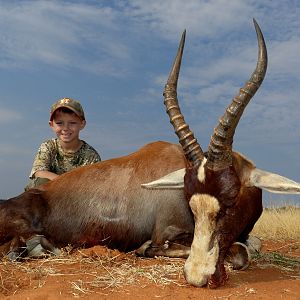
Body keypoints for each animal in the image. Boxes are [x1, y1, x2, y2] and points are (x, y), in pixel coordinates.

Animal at [0, 19, 300, 288]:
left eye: (230, 200)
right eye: (191, 202)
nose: (197, 277)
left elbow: (253, 245)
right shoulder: (165, 234)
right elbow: (239, 253)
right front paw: (144, 250)